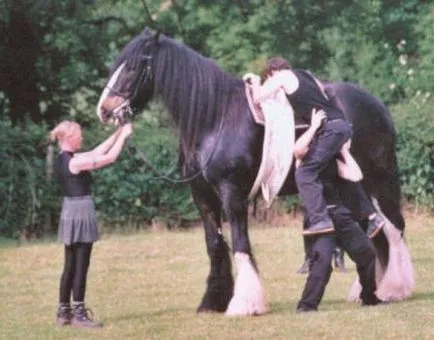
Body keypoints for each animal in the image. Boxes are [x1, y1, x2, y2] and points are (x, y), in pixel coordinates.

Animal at [96, 29, 406, 316]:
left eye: (133, 67)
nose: (104, 110)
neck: (216, 118)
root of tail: (377, 104)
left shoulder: (232, 193)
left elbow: (240, 244)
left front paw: (245, 302)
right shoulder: (202, 197)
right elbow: (215, 246)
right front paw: (212, 301)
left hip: (380, 182)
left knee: (394, 228)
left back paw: (394, 287)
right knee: (377, 232)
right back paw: (372, 290)